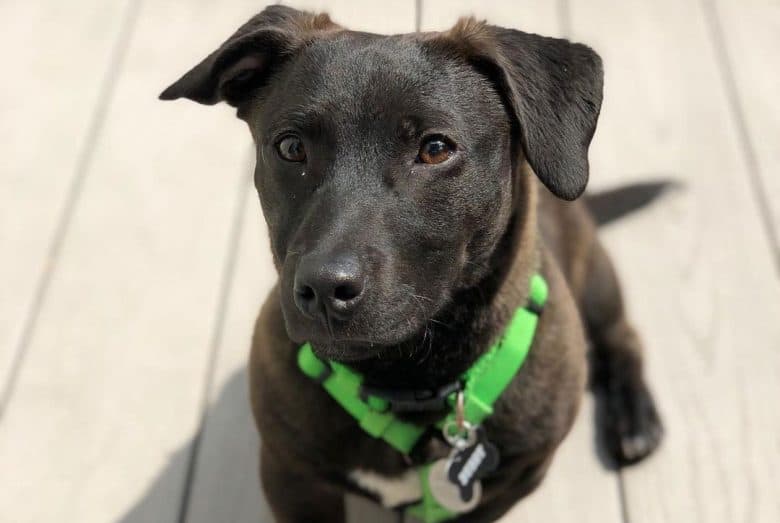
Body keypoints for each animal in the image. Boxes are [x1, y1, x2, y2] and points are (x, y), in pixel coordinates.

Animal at [161, 6, 660, 520]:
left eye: (435, 149)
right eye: (291, 147)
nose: (324, 289)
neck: (403, 381)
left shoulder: (512, 481)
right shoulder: (290, 473)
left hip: (595, 275)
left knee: (622, 336)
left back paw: (634, 421)